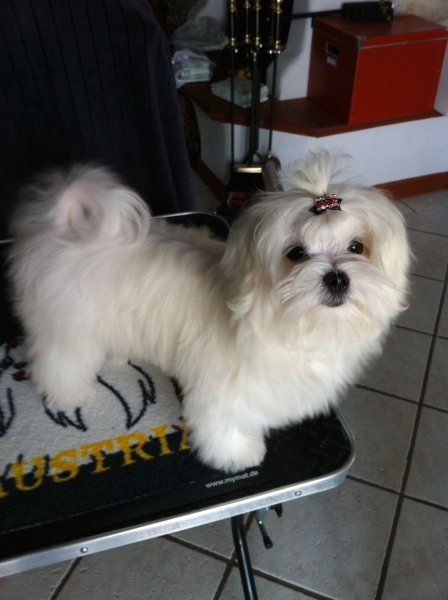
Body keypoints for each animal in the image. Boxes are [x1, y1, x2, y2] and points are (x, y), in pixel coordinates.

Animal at [7, 150, 410, 472]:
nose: (337, 278)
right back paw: (68, 394)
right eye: (296, 254)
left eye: (357, 247)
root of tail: (64, 229)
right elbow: (223, 425)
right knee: (59, 361)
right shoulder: (223, 388)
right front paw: (239, 453)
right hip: (69, 326)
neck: (289, 326)